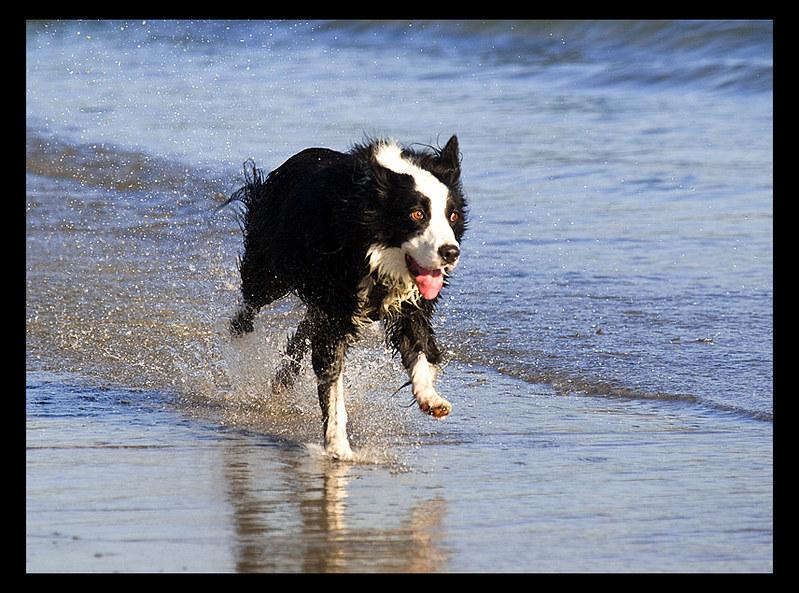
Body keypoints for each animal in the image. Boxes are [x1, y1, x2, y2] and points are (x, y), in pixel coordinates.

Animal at [225, 135, 466, 458]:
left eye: (452, 215)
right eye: (417, 214)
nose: (450, 253)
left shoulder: (409, 301)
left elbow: (419, 345)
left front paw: (431, 397)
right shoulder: (336, 305)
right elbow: (331, 376)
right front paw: (338, 446)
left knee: (305, 326)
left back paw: (282, 380)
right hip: (271, 265)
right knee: (252, 301)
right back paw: (241, 336)